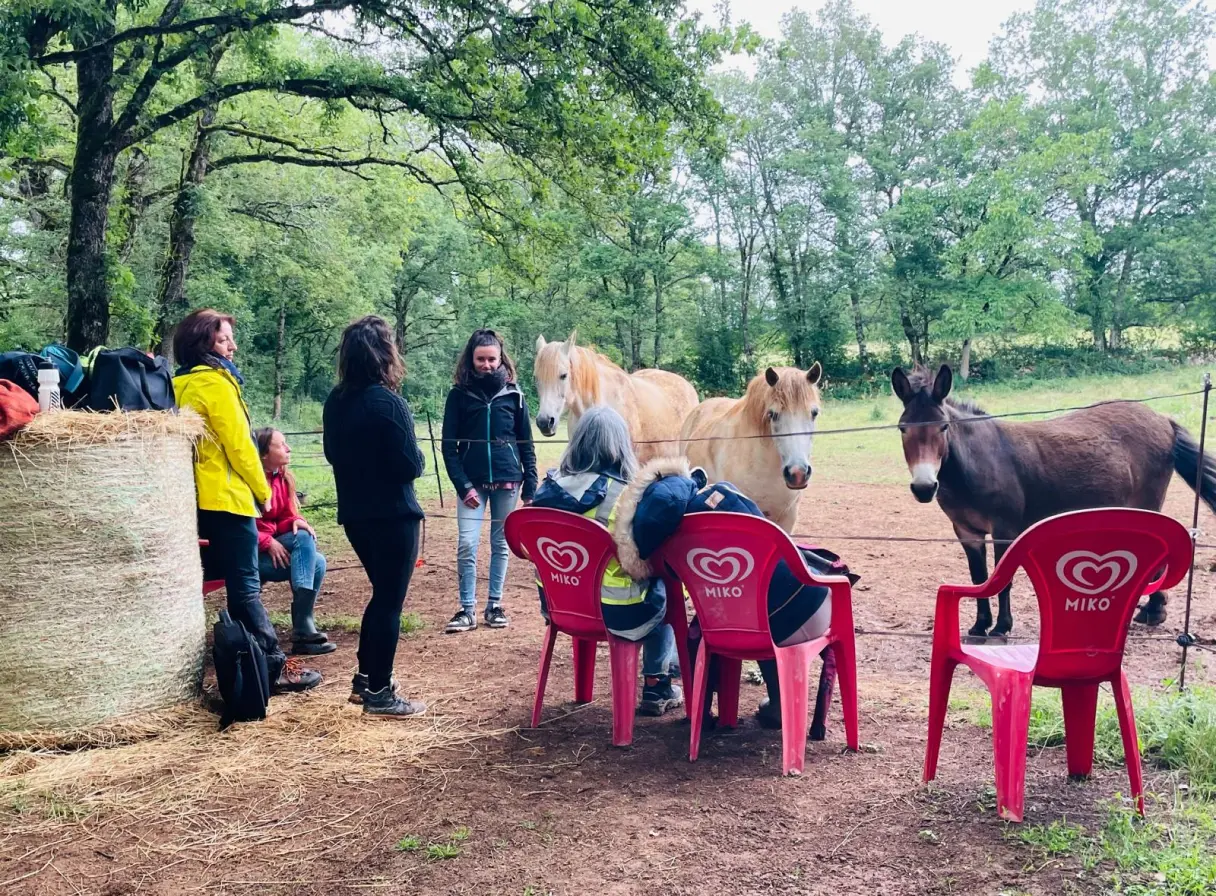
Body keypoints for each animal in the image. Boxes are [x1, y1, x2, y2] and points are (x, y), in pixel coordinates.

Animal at [892, 363, 1216, 638]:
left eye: (943, 427)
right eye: (903, 429)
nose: (924, 488)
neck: (978, 461)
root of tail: (1162, 419)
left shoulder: (1004, 531)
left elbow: (1002, 579)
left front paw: (1001, 627)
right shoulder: (966, 533)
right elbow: (978, 578)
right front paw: (980, 625)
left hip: (1146, 503)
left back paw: (1153, 611)